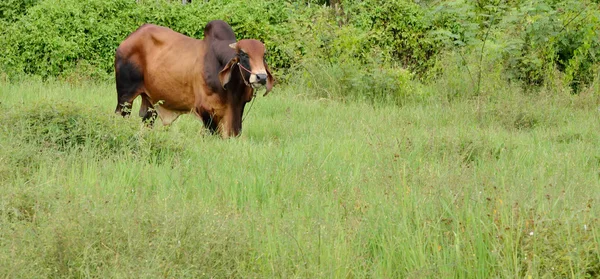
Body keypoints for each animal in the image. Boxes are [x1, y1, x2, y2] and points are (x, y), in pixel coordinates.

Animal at [113, 19, 274, 138]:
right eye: (243, 55)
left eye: (263, 55)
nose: (261, 77)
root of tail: (126, 41)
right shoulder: (206, 111)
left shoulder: (238, 109)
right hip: (125, 97)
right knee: (120, 116)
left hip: (150, 101)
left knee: (147, 120)